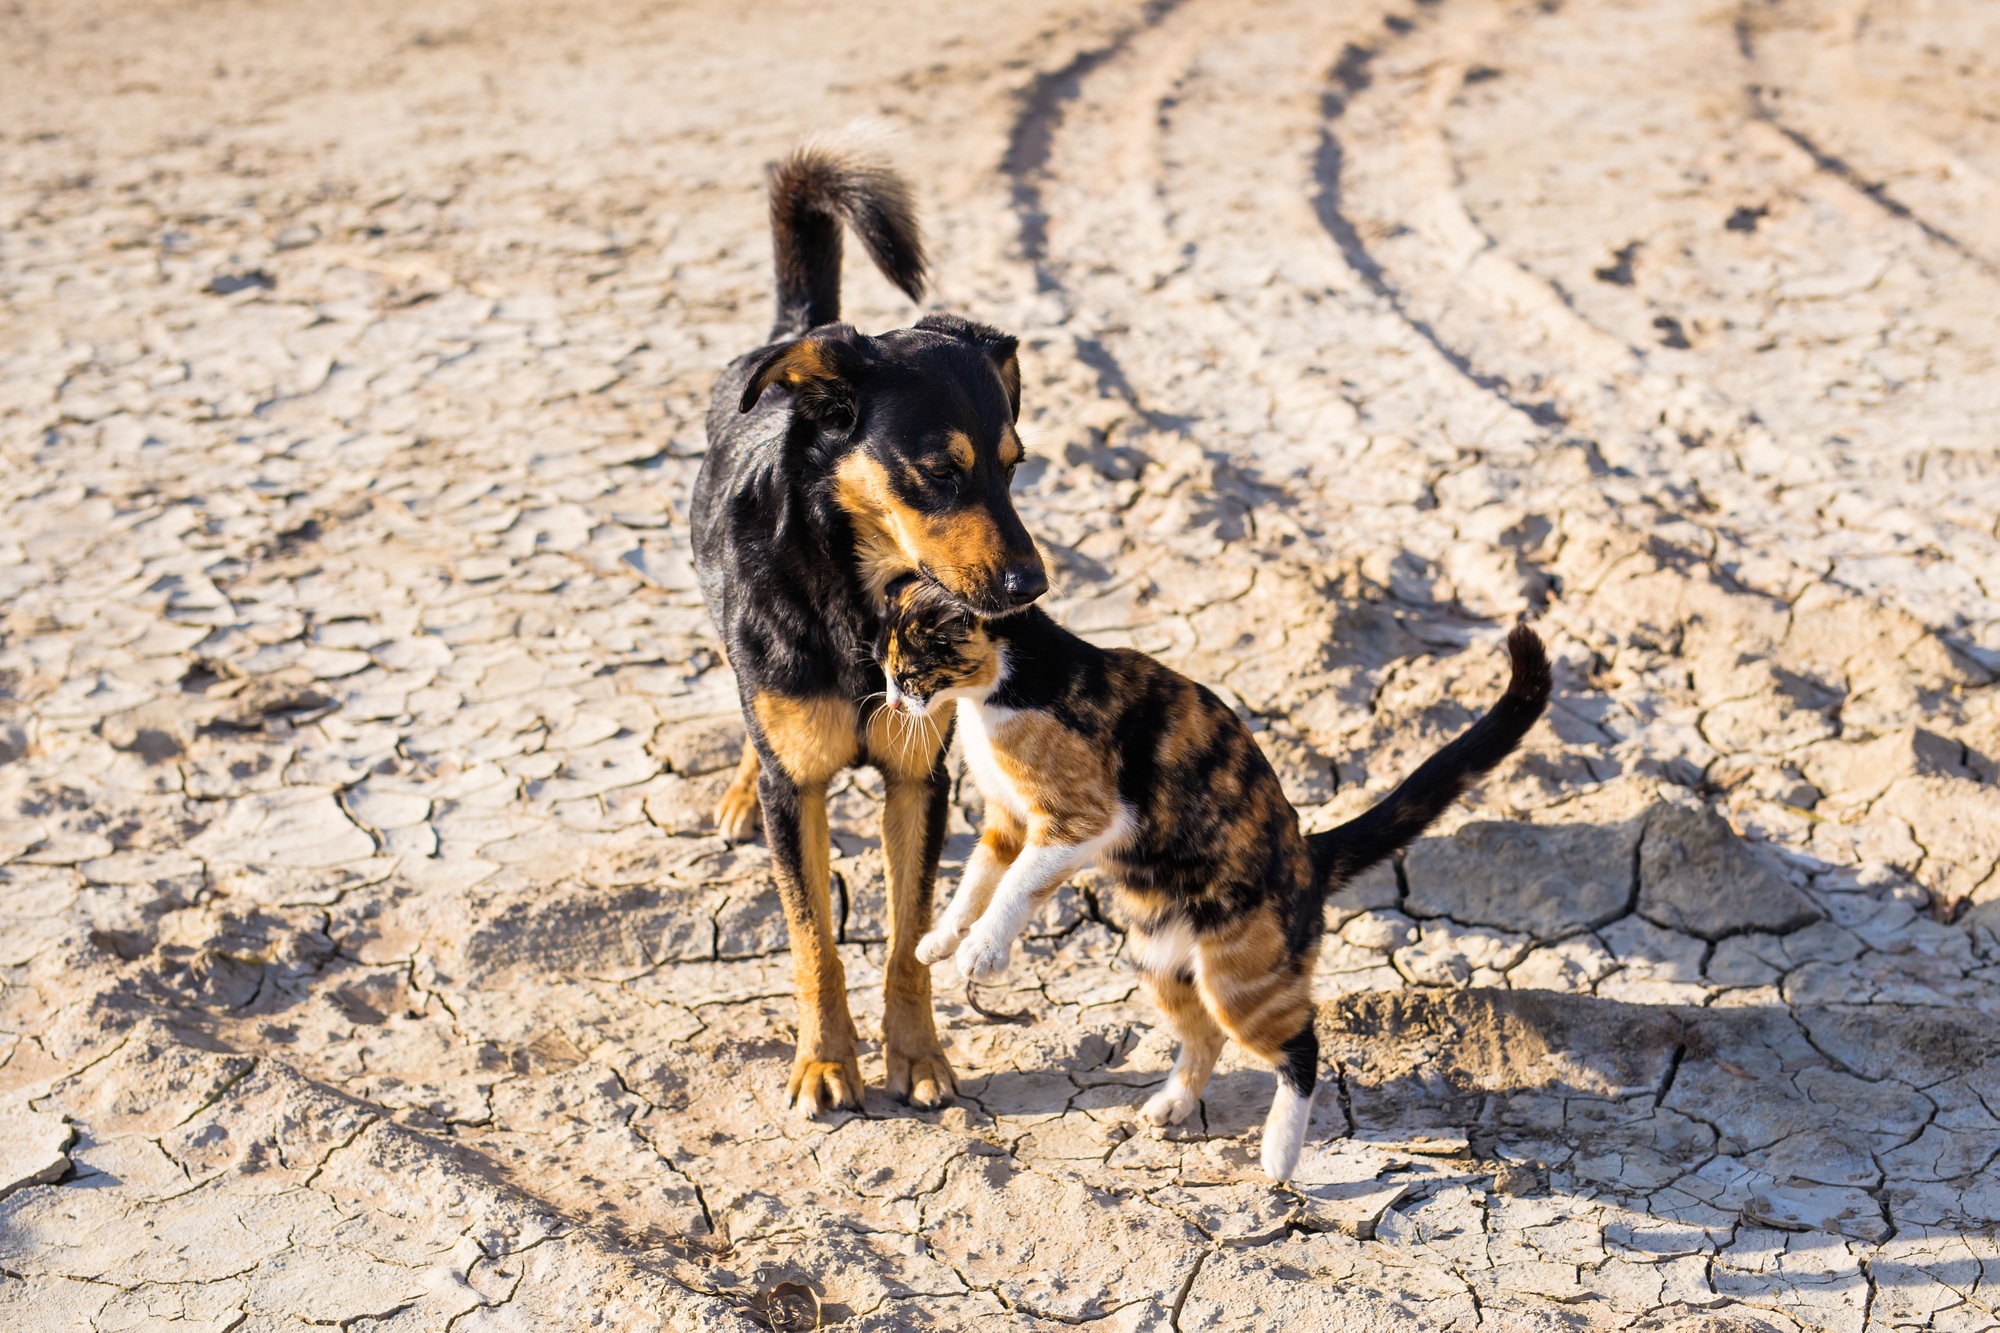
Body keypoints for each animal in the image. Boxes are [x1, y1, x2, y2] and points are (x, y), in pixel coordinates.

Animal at [696, 137, 1048, 1112]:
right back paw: (739, 784)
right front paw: (825, 1062)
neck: (858, 599)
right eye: (939, 471)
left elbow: (904, 938)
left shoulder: (917, 780)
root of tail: (792, 337)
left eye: (1015, 464)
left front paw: (917, 1054)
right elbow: (813, 937)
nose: (1032, 585)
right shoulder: (801, 794)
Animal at [884, 576, 1552, 1176]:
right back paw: (1172, 1105)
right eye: (884, 671)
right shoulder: (1006, 821)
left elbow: (1018, 886)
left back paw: (1279, 1156)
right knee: (1205, 1036)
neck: (1006, 686)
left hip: (1241, 980)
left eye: (910, 673)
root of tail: (1309, 856)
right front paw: (941, 940)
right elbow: (978, 878)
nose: (890, 704)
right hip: (1160, 961)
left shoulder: (1078, 820)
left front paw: (982, 953)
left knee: (1301, 1048)